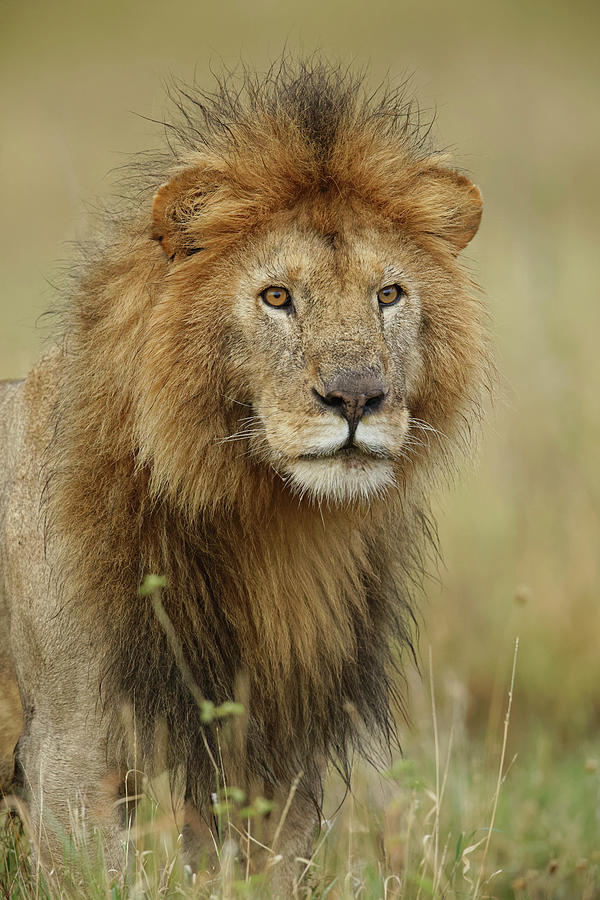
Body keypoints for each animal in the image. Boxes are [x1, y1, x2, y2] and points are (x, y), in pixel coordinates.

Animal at [0, 65, 488, 892]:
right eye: (277, 297)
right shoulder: (69, 745)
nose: (357, 397)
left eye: (388, 295)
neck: (266, 524)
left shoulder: (274, 750)